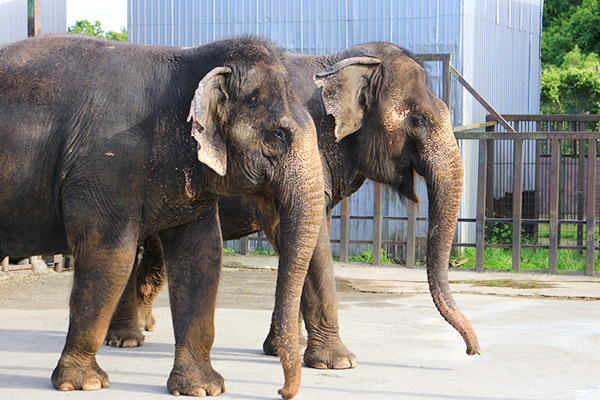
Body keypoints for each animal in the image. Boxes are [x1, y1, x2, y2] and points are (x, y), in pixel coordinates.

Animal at [0, 35, 324, 400]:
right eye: (277, 135)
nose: (283, 391)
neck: (191, 62)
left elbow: (202, 257)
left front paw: (202, 388)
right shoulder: (107, 167)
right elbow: (109, 256)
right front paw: (84, 383)